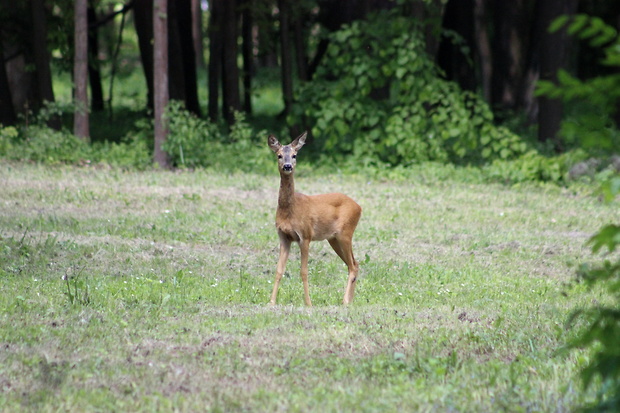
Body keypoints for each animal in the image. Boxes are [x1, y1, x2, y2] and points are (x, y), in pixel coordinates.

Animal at [268, 132, 364, 306]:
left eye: (294, 155)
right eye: (279, 155)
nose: (288, 166)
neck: (290, 211)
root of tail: (359, 207)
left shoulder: (305, 235)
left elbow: (303, 271)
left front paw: (308, 303)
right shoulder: (283, 237)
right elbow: (279, 270)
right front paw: (271, 302)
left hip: (345, 233)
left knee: (353, 265)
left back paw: (345, 301)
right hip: (333, 238)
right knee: (354, 263)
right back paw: (349, 300)